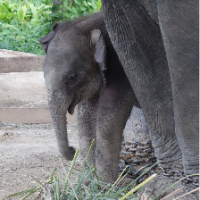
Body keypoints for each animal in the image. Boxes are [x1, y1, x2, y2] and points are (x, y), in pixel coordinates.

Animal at [39, 11, 139, 182]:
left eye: (71, 77)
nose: (72, 150)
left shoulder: (121, 70)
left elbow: (109, 118)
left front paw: (106, 184)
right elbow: (86, 116)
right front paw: (88, 180)